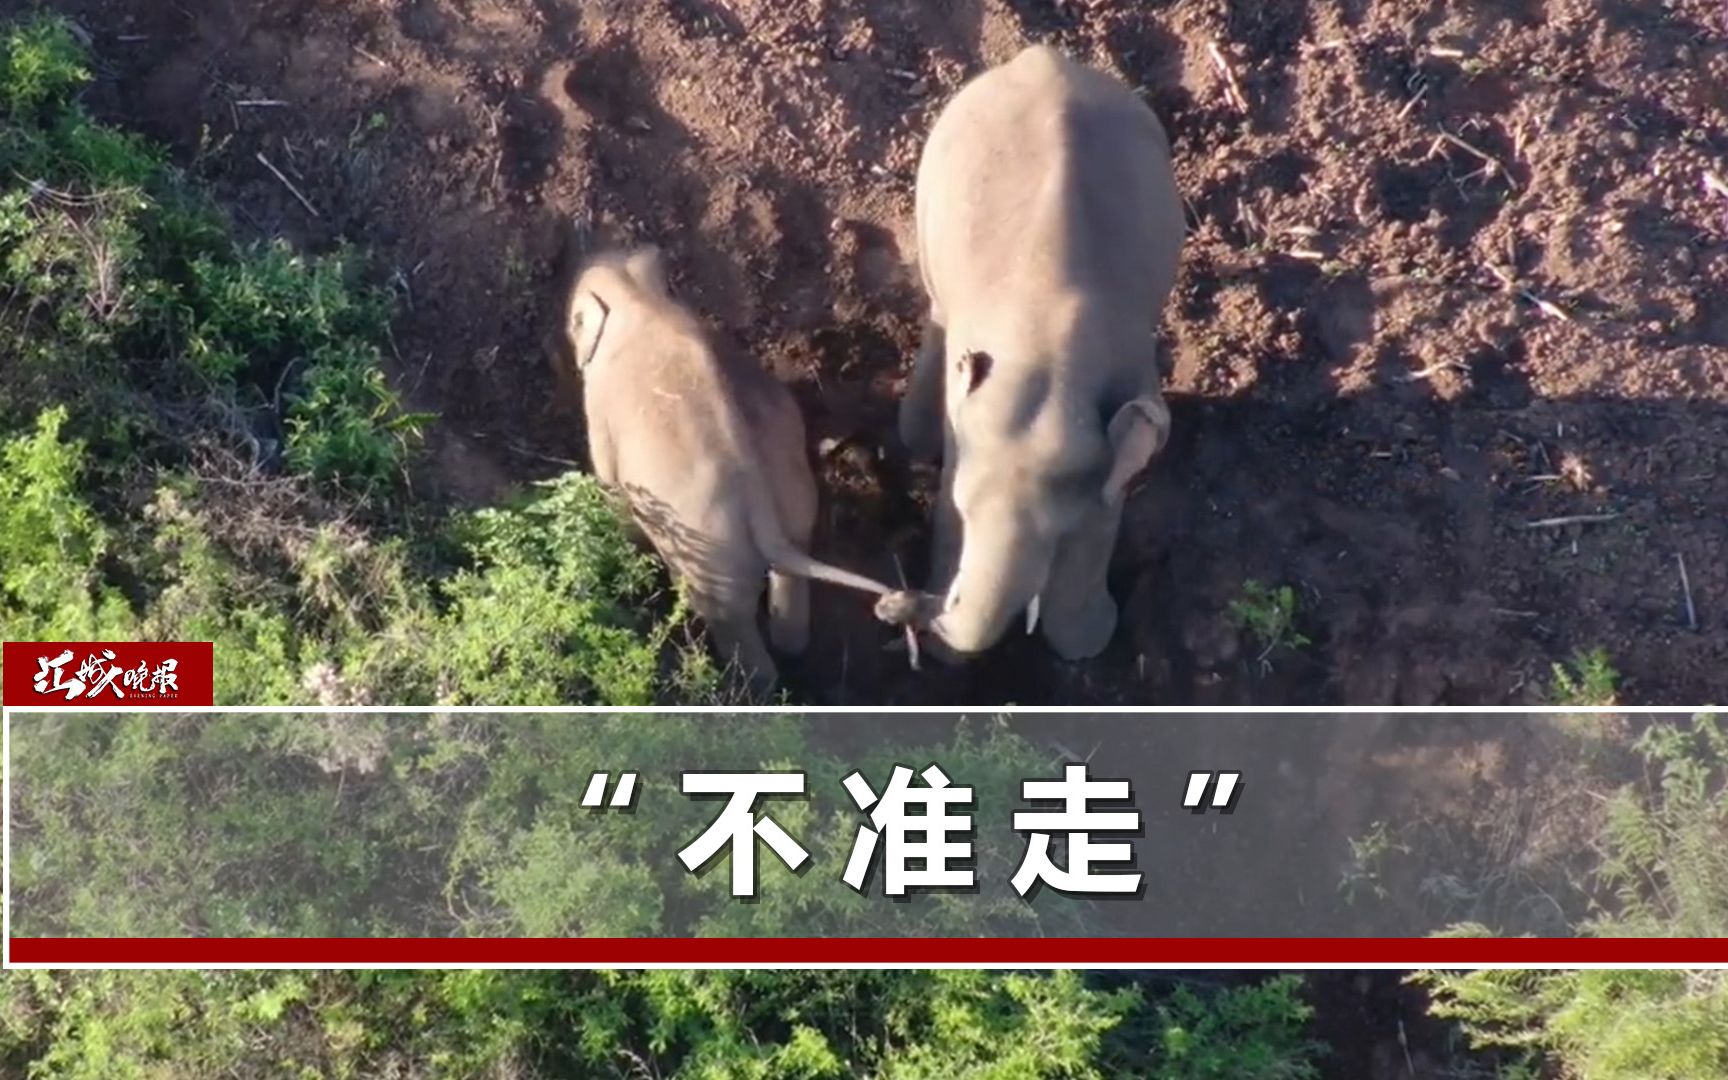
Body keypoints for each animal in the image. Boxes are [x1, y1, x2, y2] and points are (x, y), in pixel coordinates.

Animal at [570, 245, 898, 691]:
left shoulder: (600, 415)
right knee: (789, 571)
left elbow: (611, 490)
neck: (639, 299)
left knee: (729, 617)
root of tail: (755, 494)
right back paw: (791, 654)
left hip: (712, 556)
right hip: (792, 495)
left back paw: (745, 684)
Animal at [884, 44, 1181, 656]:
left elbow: (1103, 512)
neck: (1052, 361)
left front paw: (1086, 641)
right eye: (963, 510)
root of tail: (1040, 55)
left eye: (1058, 532)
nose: (889, 603)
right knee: (936, 309)